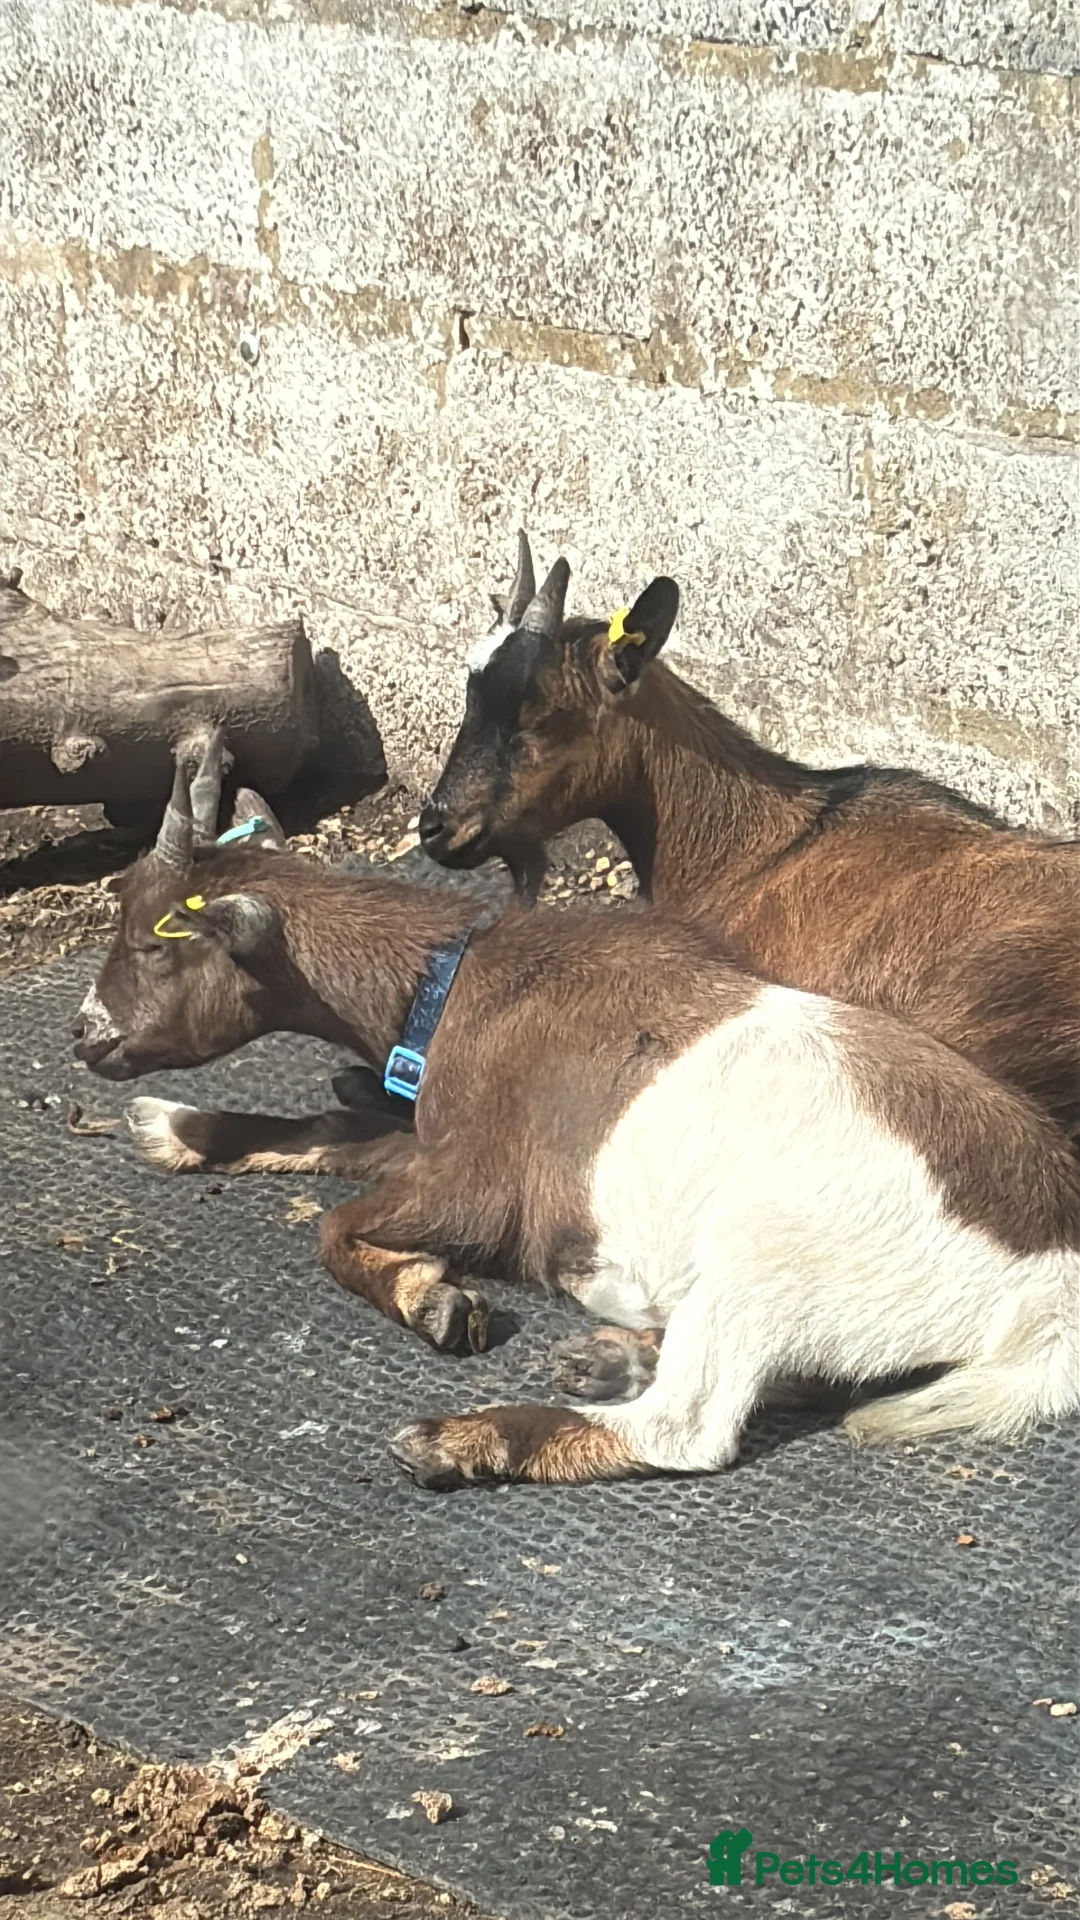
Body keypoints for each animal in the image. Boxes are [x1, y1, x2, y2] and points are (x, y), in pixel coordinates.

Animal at [73, 750, 1080, 1488]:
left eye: (153, 945)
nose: (85, 1035)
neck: (462, 982)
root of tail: (1050, 1278)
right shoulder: (441, 1131)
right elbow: (331, 1133)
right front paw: (172, 1127)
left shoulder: (483, 1185)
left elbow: (337, 1227)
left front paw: (431, 1299)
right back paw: (614, 1360)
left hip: (768, 1255)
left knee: (689, 1427)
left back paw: (463, 1438)